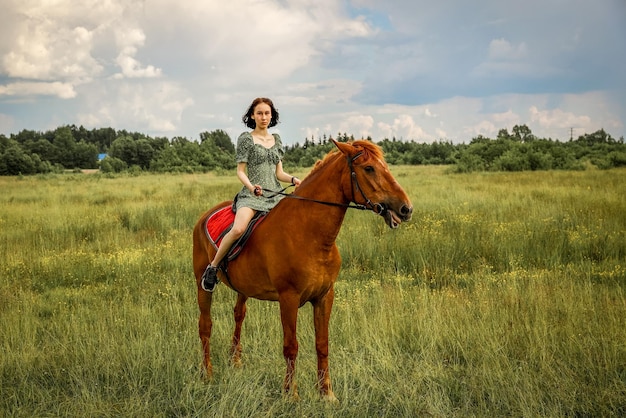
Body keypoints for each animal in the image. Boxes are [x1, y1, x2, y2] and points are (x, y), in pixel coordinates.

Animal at [193, 140, 412, 402]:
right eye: (369, 168)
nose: (406, 209)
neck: (308, 233)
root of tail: (205, 216)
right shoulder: (288, 298)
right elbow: (291, 346)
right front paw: (291, 395)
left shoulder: (325, 296)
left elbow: (322, 343)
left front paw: (326, 394)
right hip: (202, 285)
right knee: (205, 326)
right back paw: (207, 374)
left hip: (242, 289)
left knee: (239, 315)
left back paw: (235, 361)